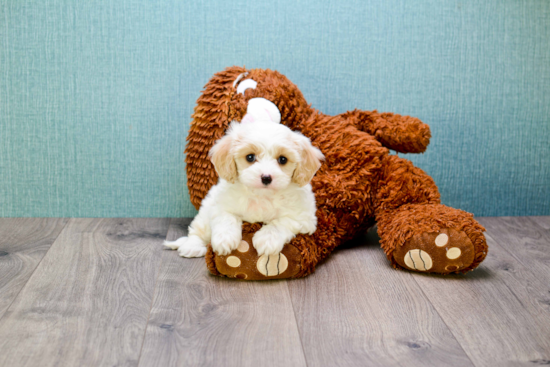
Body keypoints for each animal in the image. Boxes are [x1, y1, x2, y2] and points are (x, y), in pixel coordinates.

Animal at [166, 102, 326, 260]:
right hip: (206, 211)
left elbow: (281, 222)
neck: (262, 196)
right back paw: (192, 246)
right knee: (197, 231)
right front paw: (224, 240)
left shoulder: (303, 218)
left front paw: (267, 239)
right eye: (250, 157)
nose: (266, 177)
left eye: (282, 159)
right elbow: (226, 218)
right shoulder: (220, 205)